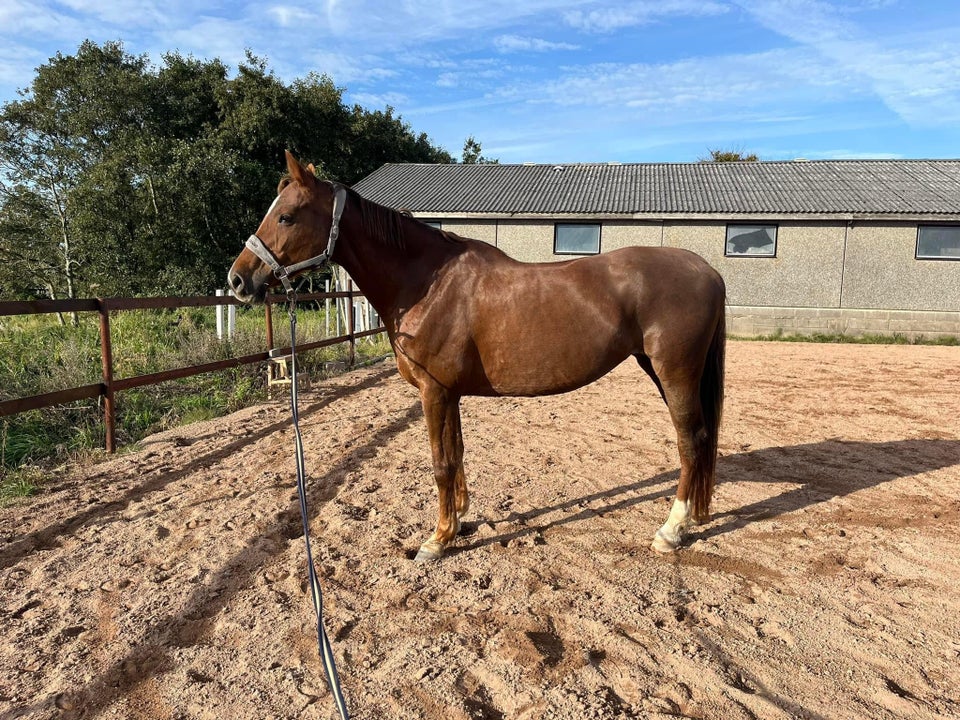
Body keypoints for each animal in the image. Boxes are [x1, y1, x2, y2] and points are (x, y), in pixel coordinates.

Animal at [229, 150, 724, 556]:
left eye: (287, 216)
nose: (238, 280)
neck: (427, 281)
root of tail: (708, 269)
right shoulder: (450, 393)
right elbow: (458, 453)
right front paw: (460, 520)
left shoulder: (434, 391)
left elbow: (440, 463)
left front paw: (437, 539)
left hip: (674, 372)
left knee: (691, 440)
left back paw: (671, 531)